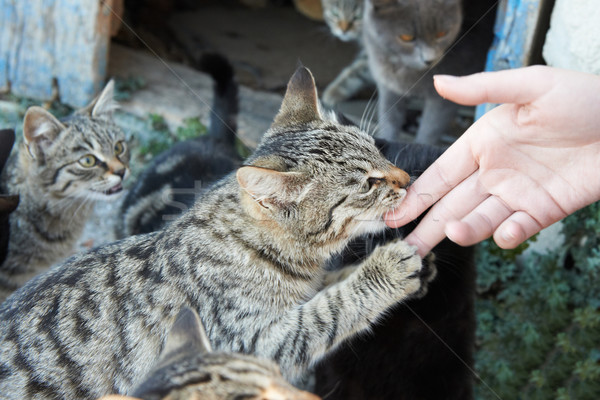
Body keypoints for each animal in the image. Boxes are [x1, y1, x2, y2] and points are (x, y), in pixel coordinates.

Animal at [364, 0, 494, 145]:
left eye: (442, 34)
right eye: (406, 37)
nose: (429, 59)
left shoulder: (443, 100)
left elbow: (430, 129)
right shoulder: (388, 87)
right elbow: (389, 118)